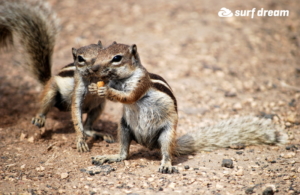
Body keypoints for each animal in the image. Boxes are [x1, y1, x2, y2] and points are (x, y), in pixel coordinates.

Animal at [0, 0, 112, 152]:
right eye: (80, 59)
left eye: (103, 52)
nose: (95, 66)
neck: (93, 78)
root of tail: (47, 81)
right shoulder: (77, 94)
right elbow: (76, 118)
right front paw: (80, 141)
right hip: (52, 92)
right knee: (46, 106)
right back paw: (39, 118)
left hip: (99, 106)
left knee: (88, 127)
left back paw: (99, 133)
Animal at [88, 42, 288, 173]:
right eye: (100, 52)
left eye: (116, 58)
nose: (94, 69)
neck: (121, 80)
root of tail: (149, 145)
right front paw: (93, 87)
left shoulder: (140, 83)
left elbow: (129, 97)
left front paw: (105, 90)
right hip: (124, 127)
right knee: (124, 153)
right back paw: (111, 157)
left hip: (167, 134)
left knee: (166, 153)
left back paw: (166, 165)